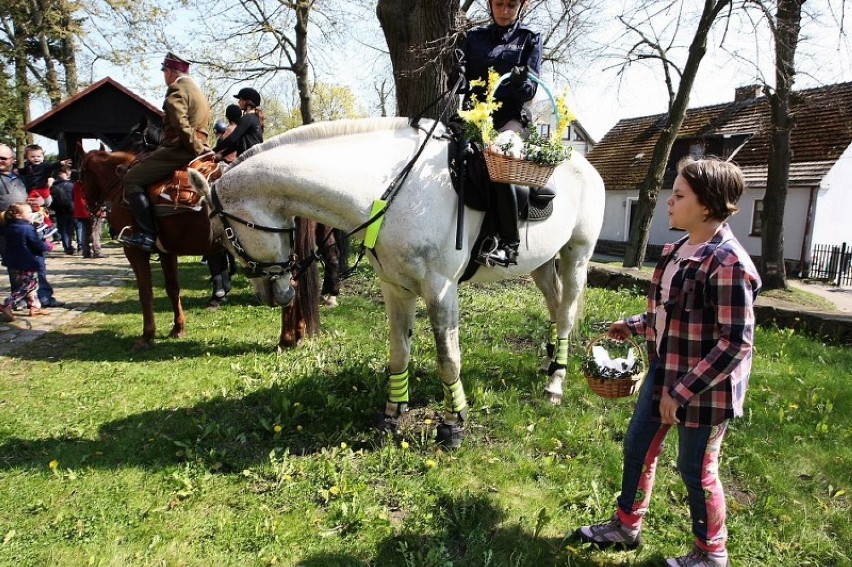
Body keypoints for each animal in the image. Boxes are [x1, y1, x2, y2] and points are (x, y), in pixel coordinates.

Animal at [80, 149, 322, 348]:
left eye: (80, 175)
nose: (92, 210)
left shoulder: (135, 252)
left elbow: (145, 293)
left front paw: (147, 335)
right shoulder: (167, 252)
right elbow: (172, 289)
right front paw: (177, 328)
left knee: (290, 286)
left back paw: (286, 339)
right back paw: (297, 333)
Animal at [193, 118, 604, 448]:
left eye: (222, 234)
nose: (274, 294)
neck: (392, 190)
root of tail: (586, 166)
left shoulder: (440, 290)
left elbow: (448, 359)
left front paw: (453, 425)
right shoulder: (396, 288)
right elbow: (398, 353)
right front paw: (392, 414)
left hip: (576, 256)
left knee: (566, 313)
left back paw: (555, 383)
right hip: (542, 264)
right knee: (554, 305)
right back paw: (548, 361)